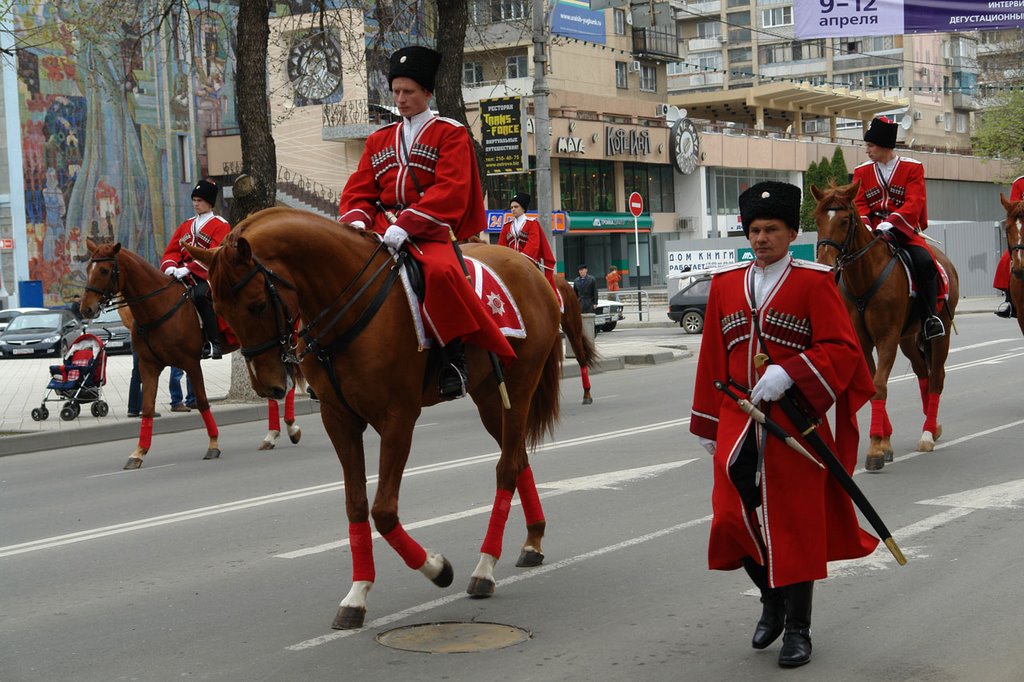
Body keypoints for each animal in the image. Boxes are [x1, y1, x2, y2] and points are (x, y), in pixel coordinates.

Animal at [81, 238, 239, 466]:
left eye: (104, 270)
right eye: (88, 268)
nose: (86, 308)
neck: (156, 308)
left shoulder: (191, 363)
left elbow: (202, 402)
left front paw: (213, 444)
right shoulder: (149, 366)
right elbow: (146, 407)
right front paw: (138, 452)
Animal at [188, 205, 565, 626]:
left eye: (256, 304)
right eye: (219, 310)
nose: (268, 386)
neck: (349, 303)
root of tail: (531, 269)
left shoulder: (398, 418)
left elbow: (383, 511)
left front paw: (438, 569)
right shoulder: (339, 420)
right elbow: (356, 505)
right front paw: (356, 595)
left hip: (519, 387)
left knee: (506, 468)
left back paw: (484, 568)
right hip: (489, 397)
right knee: (517, 458)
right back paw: (532, 542)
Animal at [806, 178, 958, 471]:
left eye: (845, 220)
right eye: (817, 218)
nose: (825, 264)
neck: (864, 277)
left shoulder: (887, 338)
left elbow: (879, 386)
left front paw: (876, 448)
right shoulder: (864, 342)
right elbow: (872, 386)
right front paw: (884, 442)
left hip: (938, 334)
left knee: (936, 377)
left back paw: (927, 433)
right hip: (908, 339)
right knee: (922, 373)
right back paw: (933, 427)